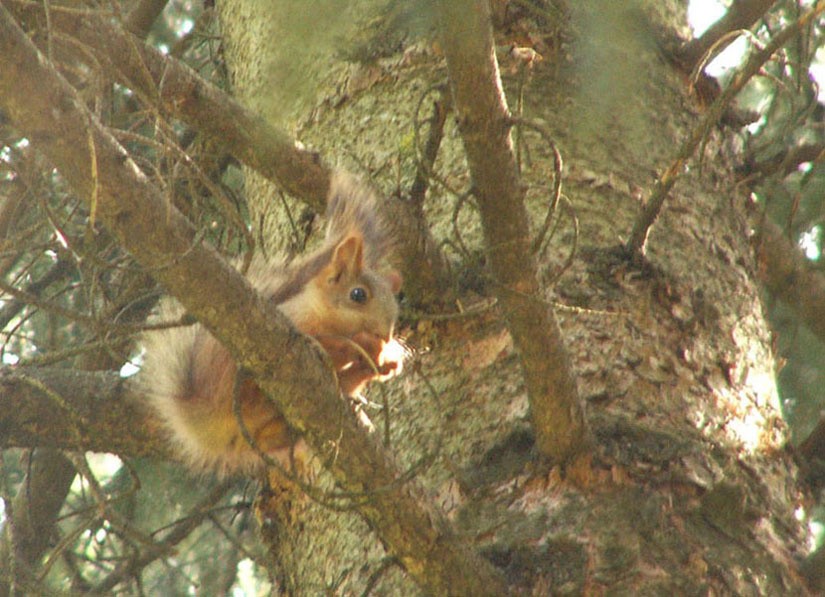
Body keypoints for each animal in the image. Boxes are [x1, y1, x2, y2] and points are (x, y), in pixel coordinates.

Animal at [140, 172, 402, 477]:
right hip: (232, 363)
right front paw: (356, 346)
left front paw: (387, 359)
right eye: (358, 295)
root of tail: (207, 413)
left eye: (396, 309)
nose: (385, 335)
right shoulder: (296, 323)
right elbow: (326, 344)